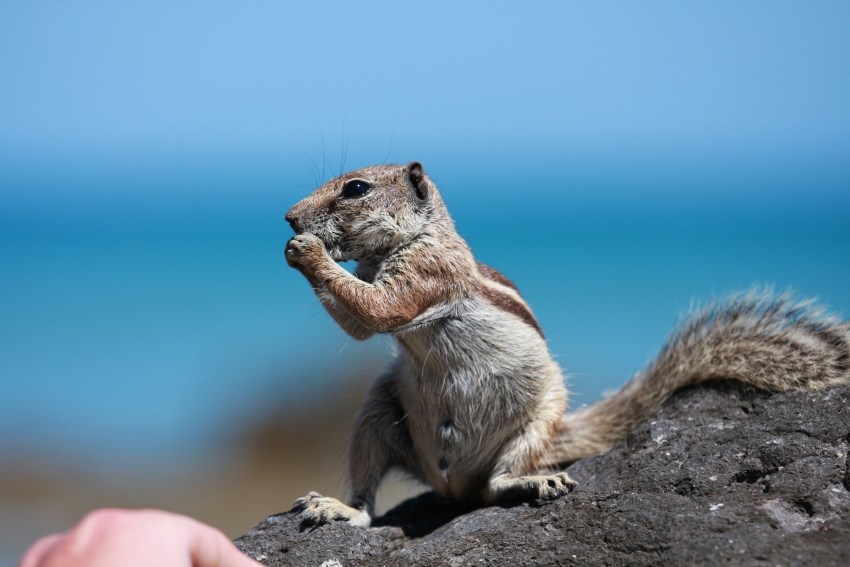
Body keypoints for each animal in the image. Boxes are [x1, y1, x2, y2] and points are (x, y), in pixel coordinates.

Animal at [283, 161, 850, 528]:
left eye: (356, 188)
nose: (288, 217)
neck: (416, 237)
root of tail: (449, 483)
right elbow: (362, 322)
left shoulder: (428, 274)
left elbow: (380, 309)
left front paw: (307, 251)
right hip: (379, 413)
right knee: (369, 499)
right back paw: (340, 508)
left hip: (538, 420)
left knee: (496, 486)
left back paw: (534, 483)